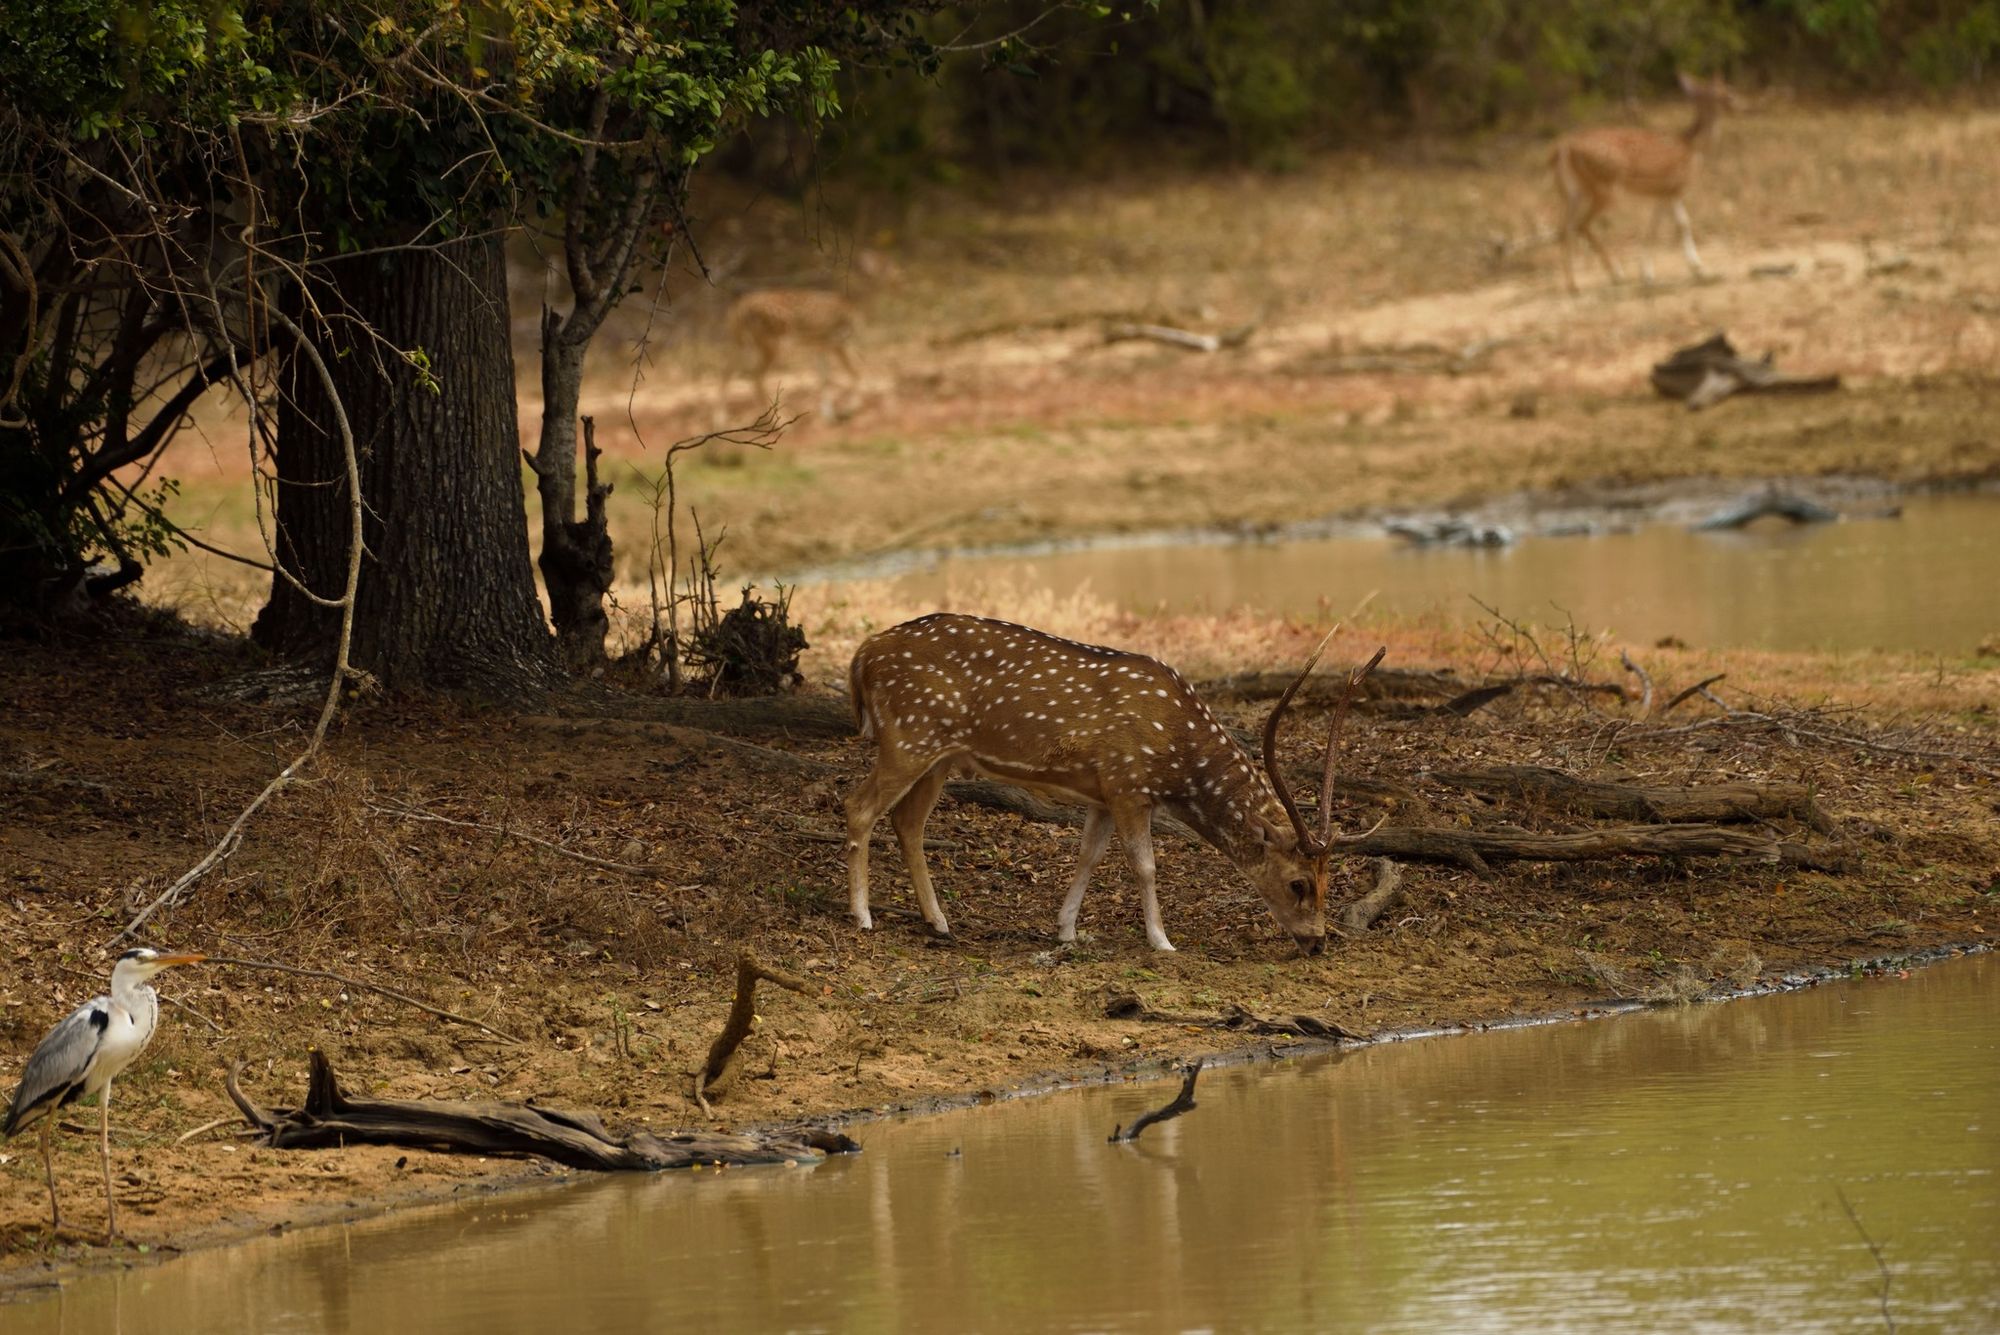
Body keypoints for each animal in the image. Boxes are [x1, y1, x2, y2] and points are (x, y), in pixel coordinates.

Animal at [840, 611, 1376, 955]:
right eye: (1298, 883)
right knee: (858, 806)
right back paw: (863, 916)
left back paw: (939, 923)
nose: (1317, 941)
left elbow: (1089, 855)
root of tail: (862, 654)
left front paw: (1066, 930)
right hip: (908, 736)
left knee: (907, 821)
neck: (1177, 758)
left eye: (1329, 881)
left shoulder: (1099, 793)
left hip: (940, 757)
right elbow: (1145, 865)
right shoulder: (1128, 782)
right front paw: (1162, 941)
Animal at [1552, 72, 1744, 291]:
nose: (1740, 105)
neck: (1692, 148)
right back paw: (1616, 275)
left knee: (1564, 228)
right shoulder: (1673, 188)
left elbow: (1664, 226)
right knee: (1581, 224)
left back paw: (1573, 284)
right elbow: (1677, 225)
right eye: (1725, 93)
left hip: (1573, 192)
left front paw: (1657, 273)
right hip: (1605, 188)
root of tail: (1563, 148)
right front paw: (1695, 270)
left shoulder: (1663, 193)